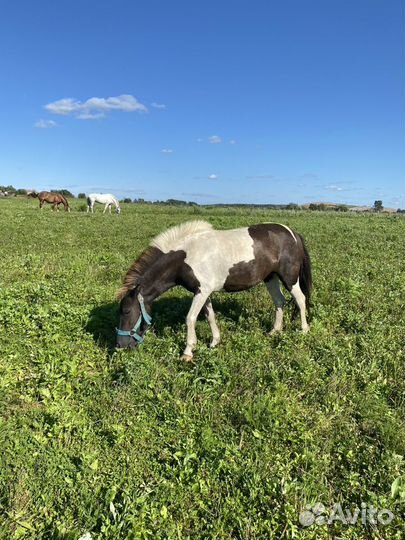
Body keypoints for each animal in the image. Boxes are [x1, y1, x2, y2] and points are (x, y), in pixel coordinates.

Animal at [115, 219, 310, 362]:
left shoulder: (202, 291)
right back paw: (275, 331)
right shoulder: (202, 292)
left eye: (126, 311)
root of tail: (292, 233)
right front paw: (214, 341)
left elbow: (190, 318)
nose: (120, 345)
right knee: (279, 301)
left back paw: (304, 330)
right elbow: (210, 316)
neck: (185, 257)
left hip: (289, 278)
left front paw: (187, 352)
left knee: (300, 300)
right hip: (271, 277)